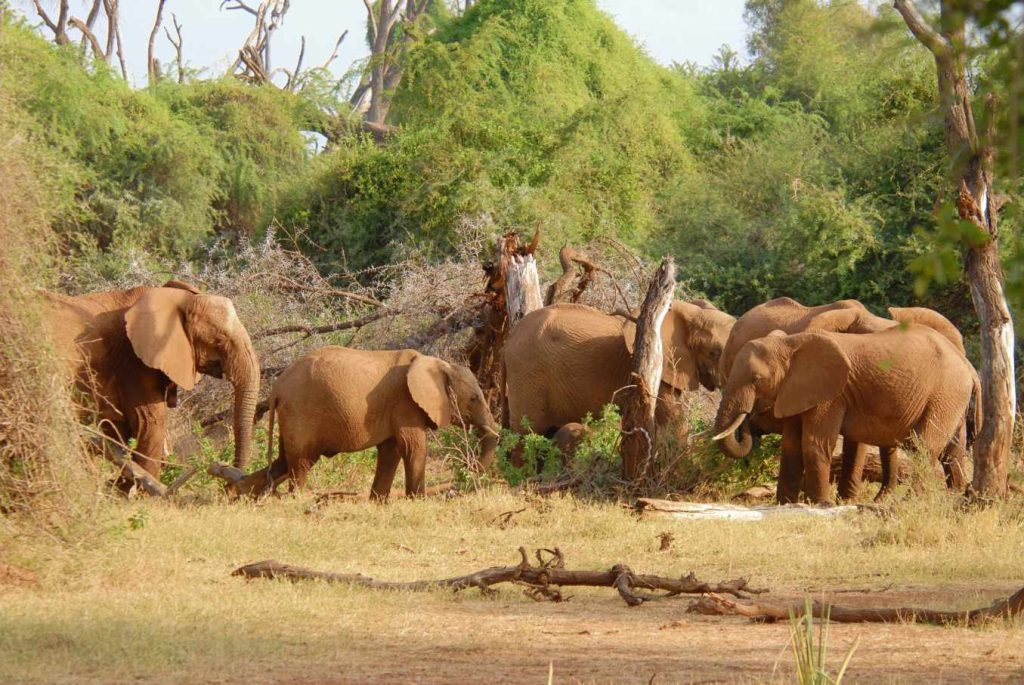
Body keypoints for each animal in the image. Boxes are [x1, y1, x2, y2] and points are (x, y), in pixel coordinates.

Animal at [44, 280, 260, 481]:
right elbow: (149, 421)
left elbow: (118, 430)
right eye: (220, 340)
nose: (230, 483)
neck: (178, 299)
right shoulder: (132, 362)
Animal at [228, 346, 499, 500]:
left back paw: (237, 494)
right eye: (474, 399)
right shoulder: (405, 402)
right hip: (301, 413)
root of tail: (277, 388)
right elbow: (413, 447)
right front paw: (418, 500)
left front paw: (378, 501)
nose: (468, 469)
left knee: (284, 461)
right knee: (301, 462)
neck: (437, 364)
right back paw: (298, 499)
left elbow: (391, 451)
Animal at [503, 300, 735, 442]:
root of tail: (509, 338)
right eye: (714, 353)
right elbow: (672, 420)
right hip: (528, 371)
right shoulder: (654, 368)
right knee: (527, 432)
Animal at [716, 297, 970, 500]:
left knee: (931, 448)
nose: (751, 413)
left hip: (945, 394)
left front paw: (834, 502)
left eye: (757, 379)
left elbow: (833, 444)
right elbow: (797, 444)